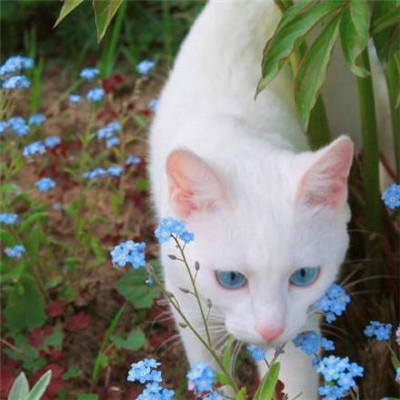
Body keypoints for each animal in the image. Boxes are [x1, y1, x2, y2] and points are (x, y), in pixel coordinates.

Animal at [149, 0, 362, 396]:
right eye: (231, 279)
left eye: (304, 275)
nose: (270, 329)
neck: (239, 136)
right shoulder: (187, 300)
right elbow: (209, 370)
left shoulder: (300, 325)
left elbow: (294, 379)